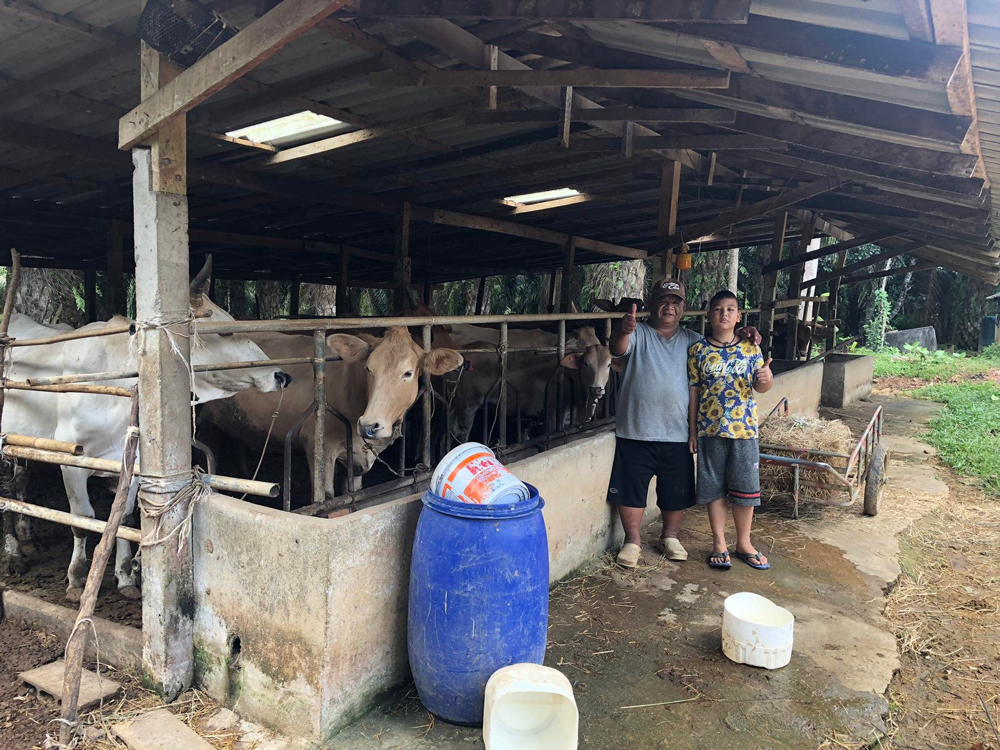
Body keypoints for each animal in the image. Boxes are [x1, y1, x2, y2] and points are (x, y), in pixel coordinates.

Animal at [3, 262, 292, 604]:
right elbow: (82, 520)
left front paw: (126, 576)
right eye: (223, 330)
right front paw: (76, 579)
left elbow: (126, 518)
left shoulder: (135, 465)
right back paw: (13, 552)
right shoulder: (72, 462)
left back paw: (27, 540)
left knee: (20, 484)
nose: (280, 375)